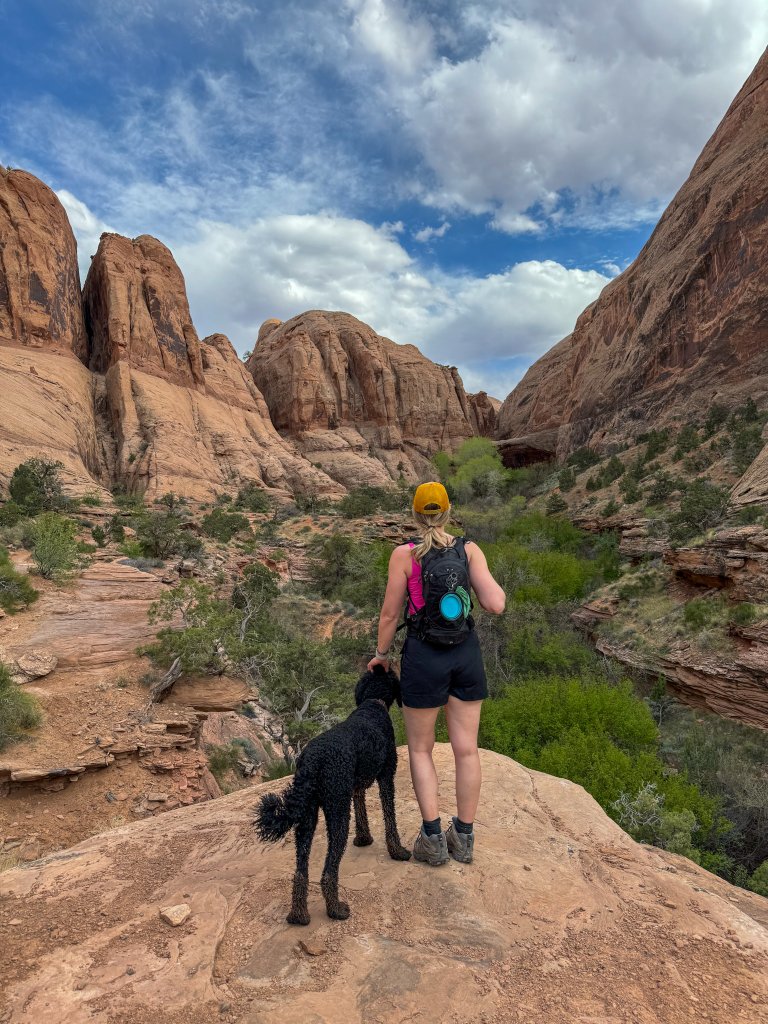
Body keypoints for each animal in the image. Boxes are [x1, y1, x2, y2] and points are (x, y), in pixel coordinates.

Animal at [257, 667, 415, 925]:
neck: (373, 703)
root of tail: (312, 760)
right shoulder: (386, 776)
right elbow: (390, 817)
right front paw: (397, 851)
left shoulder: (356, 786)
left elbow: (362, 811)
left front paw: (363, 838)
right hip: (337, 809)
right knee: (328, 872)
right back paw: (336, 909)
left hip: (307, 816)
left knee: (301, 870)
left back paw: (298, 915)